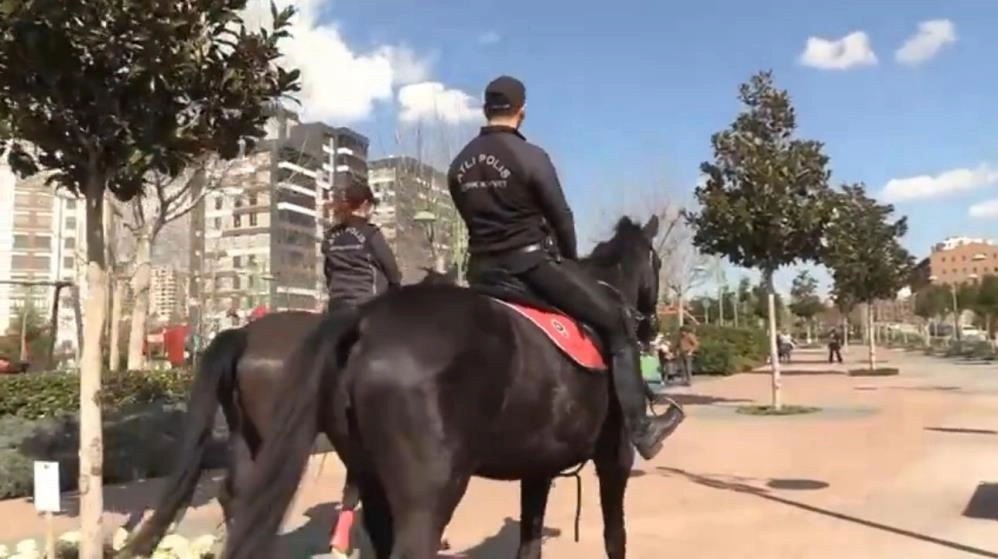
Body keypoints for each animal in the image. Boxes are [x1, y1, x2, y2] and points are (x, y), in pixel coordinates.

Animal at [223, 215, 668, 559]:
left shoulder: (537, 467)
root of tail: (364, 321)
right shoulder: (615, 458)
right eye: (658, 262)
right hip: (428, 493)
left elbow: (529, 542)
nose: (650, 326)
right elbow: (615, 537)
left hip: (358, 468)